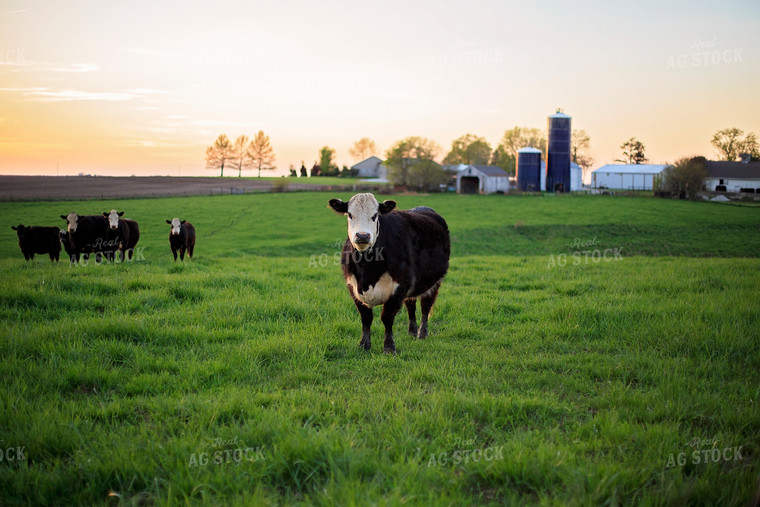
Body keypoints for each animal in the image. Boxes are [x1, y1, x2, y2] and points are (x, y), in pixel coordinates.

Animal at [328, 192, 448, 356]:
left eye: (375, 215)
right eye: (350, 214)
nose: (362, 236)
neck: (367, 272)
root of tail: (424, 208)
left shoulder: (399, 286)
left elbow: (387, 317)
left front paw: (389, 348)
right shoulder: (353, 286)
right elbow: (366, 317)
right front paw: (364, 345)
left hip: (434, 281)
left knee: (425, 306)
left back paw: (422, 333)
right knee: (411, 305)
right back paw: (412, 331)